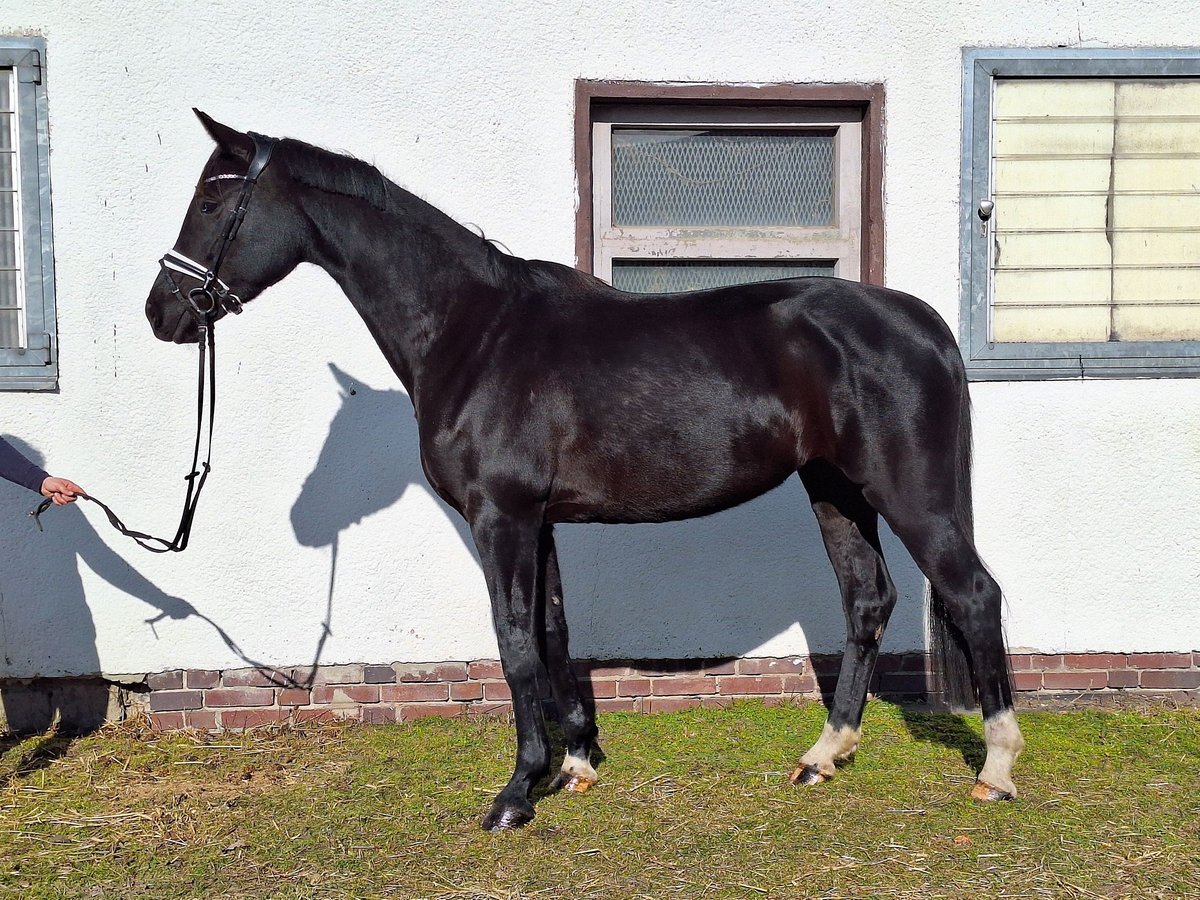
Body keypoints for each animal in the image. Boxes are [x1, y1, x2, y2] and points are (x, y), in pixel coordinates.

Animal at [140, 111, 1022, 830]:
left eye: (212, 201)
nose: (162, 312)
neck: (473, 330)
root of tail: (922, 323)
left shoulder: (502, 518)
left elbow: (515, 640)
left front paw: (516, 792)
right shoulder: (539, 520)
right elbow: (555, 631)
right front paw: (575, 763)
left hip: (909, 495)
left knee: (975, 594)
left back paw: (997, 770)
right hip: (836, 490)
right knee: (866, 600)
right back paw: (823, 755)